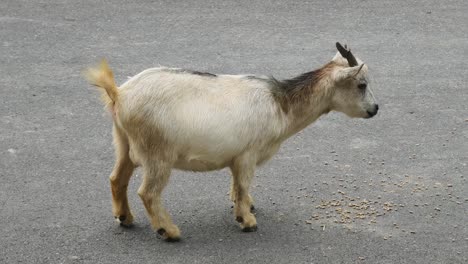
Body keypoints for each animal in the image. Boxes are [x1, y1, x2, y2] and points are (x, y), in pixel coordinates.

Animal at [83, 42, 376, 241]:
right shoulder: (248, 154)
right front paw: (247, 220)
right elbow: (244, 185)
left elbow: (237, 186)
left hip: (124, 143)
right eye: (361, 84)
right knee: (148, 193)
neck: (281, 105)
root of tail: (119, 94)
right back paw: (169, 231)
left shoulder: (237, 157)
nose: (375, 109)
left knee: (117, 179)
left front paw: (242, 207)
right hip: (157, 152)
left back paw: (125, 217)